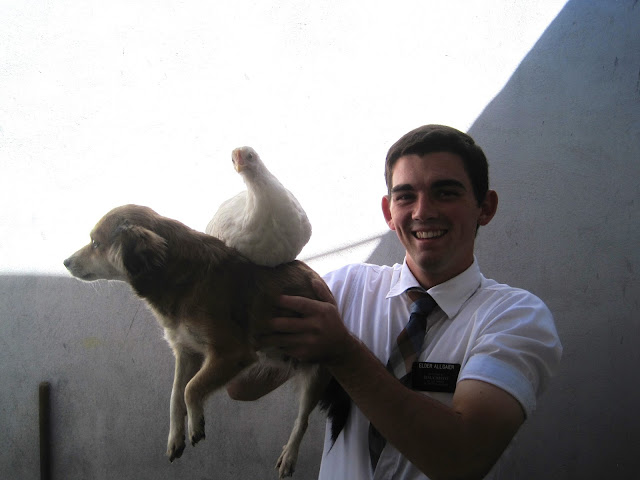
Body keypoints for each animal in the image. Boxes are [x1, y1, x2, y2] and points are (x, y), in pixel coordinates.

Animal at [64, 204, 348, 478]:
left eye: (95, 243)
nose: (65, 262)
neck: (180, 275)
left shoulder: (231, 353)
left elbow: (191, 388)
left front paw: (196, 424)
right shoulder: (186, 352)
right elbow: (175, 395)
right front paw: (176, 436)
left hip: (317, 371)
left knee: (302, 420)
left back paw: (289, 456)